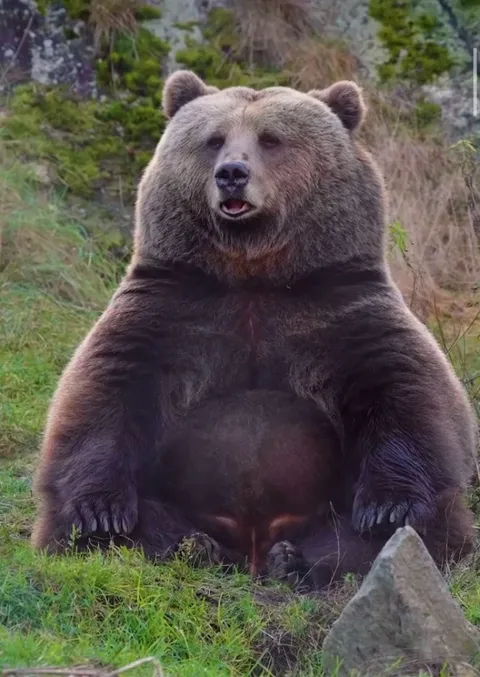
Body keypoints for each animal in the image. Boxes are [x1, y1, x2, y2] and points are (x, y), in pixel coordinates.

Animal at [31, 70, 478, 589]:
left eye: (271, 139)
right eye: (213, 139)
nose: (231, 173)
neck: (253, 271)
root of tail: (252, 543)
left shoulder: (340, 311)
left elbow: (405, 392)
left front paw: (388, 509)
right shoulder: (171, 308)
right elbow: (105, 390)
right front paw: (100, 513)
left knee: (420, 532)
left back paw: (298, 559)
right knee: (131, 525)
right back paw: (192, 547)